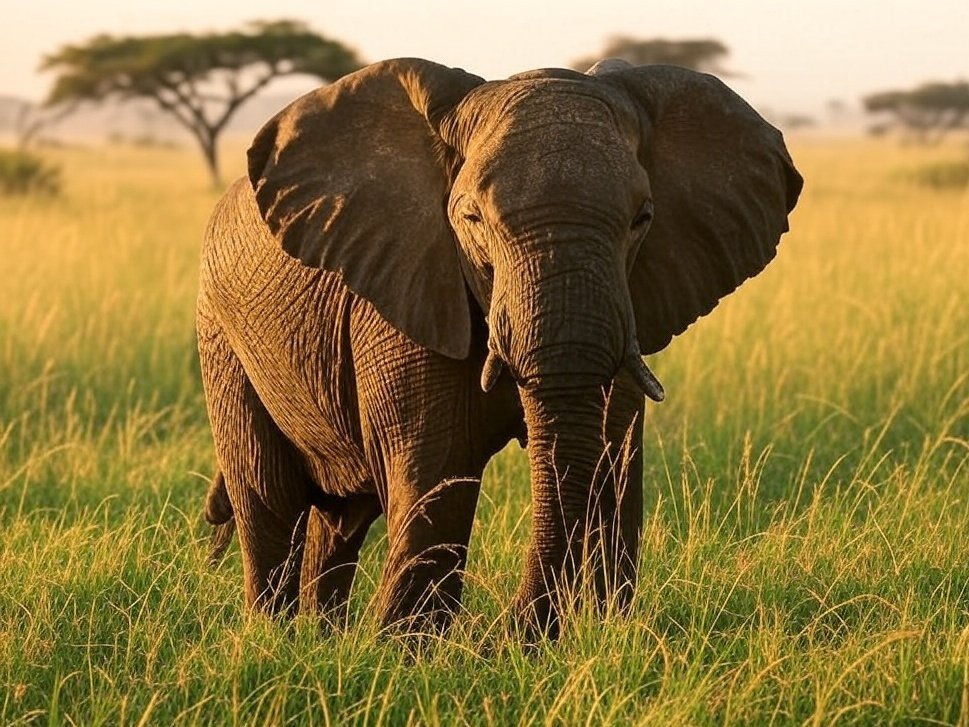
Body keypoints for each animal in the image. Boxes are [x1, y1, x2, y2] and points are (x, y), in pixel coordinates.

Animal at [197, 56, 802, 637]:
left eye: (643, 219)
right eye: (471, 218)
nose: (508, 635)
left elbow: (614, 461)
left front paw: (603, 635)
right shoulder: (407, 293)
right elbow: (440, 471)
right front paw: (406, 652)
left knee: (341, 518)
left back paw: (324, 641)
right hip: (221, 336)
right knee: (270, 500)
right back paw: (277, 640)